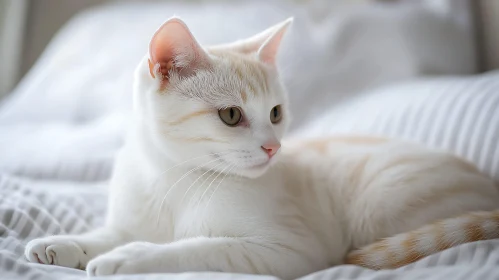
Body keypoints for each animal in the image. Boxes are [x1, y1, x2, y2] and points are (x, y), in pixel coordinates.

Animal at [25, 17, 499, 278]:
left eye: (275, 113)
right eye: (232, 116)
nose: (273, 148)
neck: (173, 178)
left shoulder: (290, 250)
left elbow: (198, 248)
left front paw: (130, 258)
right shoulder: (131, 217)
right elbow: (105, 235)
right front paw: (62, 245)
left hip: (382, 204)